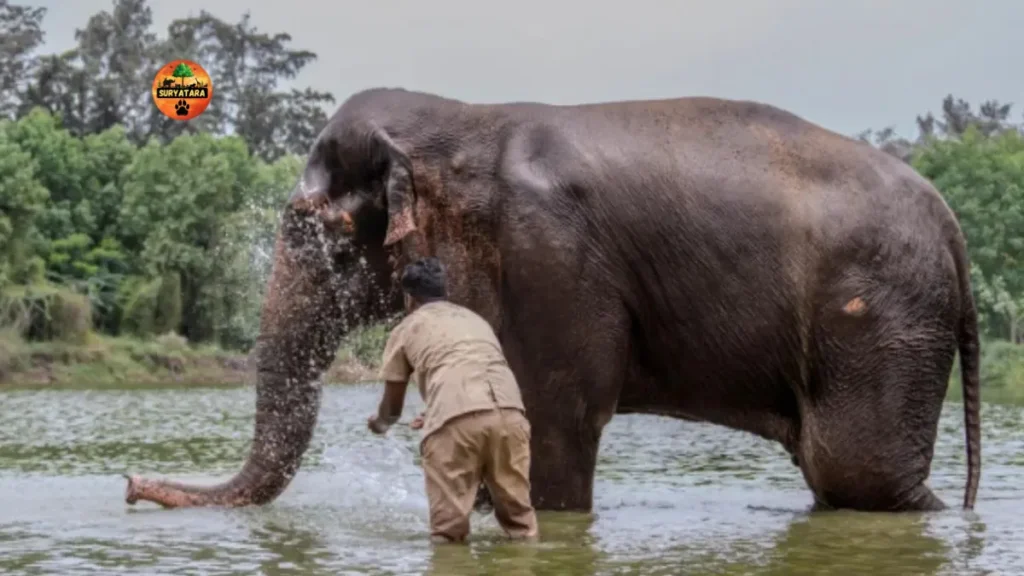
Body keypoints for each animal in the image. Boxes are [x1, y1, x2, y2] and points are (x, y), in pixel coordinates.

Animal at [124, 87, 981, 514]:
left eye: (330, 249)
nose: (134, 486)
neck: (463, 123)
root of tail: (953, 226)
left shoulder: (555, 261)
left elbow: (557, 414)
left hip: (882, 323)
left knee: (858, 472)